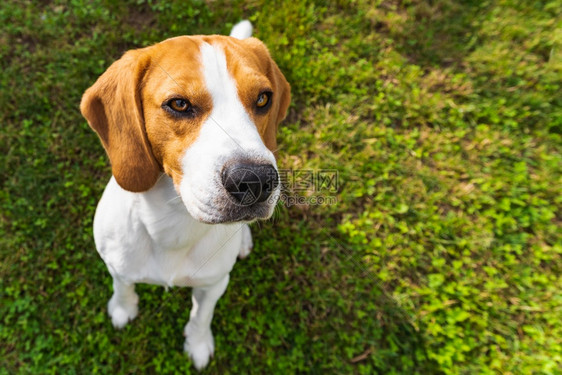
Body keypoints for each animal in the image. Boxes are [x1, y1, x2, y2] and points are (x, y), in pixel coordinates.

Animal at [80, 21, 288, 370]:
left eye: (263, 99)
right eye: (179, 104)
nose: (256, 180)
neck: (174, 224)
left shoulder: (214, 284)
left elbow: (201, 316)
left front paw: (198, 344)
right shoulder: (117, 265)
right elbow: (122, 286)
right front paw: (123, 309)